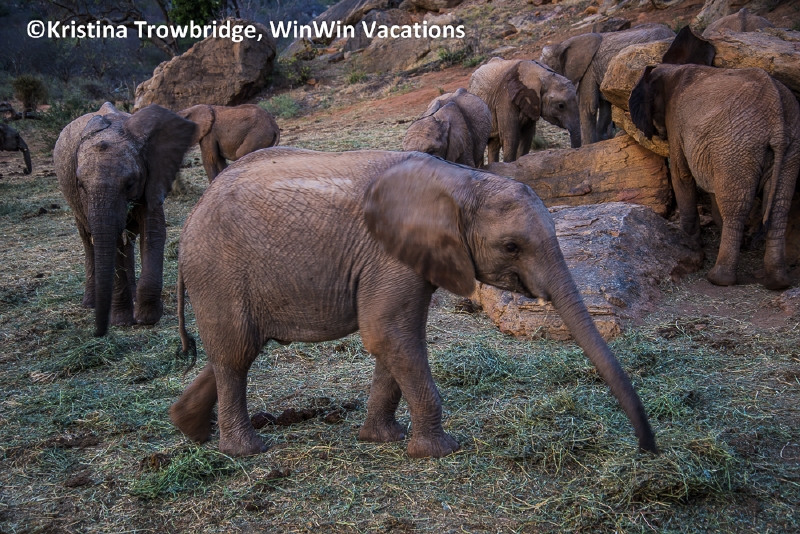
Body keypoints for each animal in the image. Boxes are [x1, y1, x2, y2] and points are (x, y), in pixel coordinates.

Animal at [54, 102, 196, 336]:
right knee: (88, 240)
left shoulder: (152, 175)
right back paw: (91, 304)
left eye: (129, 184)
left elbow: (153, 231)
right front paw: (121, 322)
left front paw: (146, 319)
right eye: (81, 185)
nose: (99, 332)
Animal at [169, 147, 657, 458]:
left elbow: (395, 340)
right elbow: (389, 334)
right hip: (218, 269)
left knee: (237, 349)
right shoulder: (388, 255)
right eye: (512, 247)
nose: (647, 447)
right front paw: (438, 453)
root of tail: (192, 214)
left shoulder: (412, 258)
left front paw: (382, 440)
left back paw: (190, 429)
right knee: (237, 353)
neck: (460, 181)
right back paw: (246, 450)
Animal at [629, 27, 800, 290]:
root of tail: (777, 118)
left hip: (738, 145)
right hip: (788, 146)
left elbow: (682, 175)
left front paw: (688, 244)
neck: (672, 68)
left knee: (736, 206)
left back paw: (719, 279)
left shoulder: (676, 122)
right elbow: (710, 188)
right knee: (780, 205)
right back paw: (778, 282)